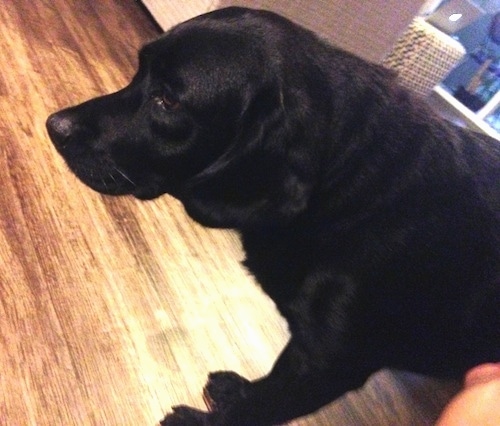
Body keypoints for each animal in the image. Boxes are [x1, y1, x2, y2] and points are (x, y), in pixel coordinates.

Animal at [46, 6, 496, 426]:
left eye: (168, 100)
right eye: (139, 70)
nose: (54, 126)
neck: (350, 186)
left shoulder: (325, 367)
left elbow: (255, 409)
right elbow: (263, 387)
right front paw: (236, 390)